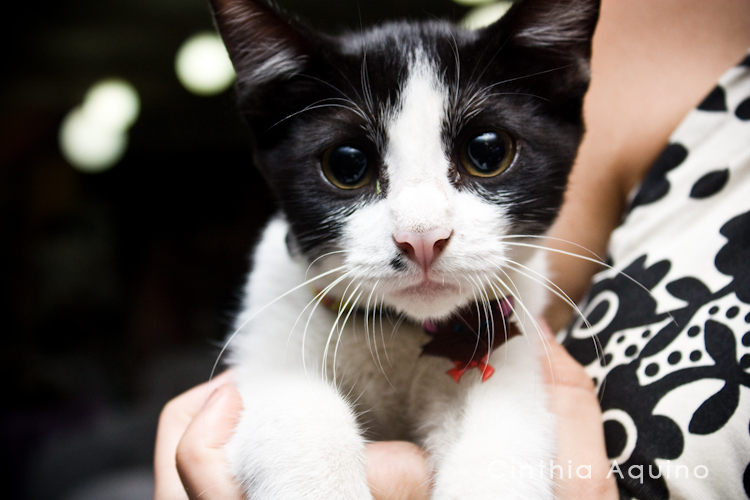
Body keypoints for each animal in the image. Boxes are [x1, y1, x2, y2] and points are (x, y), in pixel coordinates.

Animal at [209, 0, 604, 496]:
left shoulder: (512, 337)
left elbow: (507, 422)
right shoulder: (270, 330)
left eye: (488, 152)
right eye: (347, 164)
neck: (397, 334)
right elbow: (293, 405)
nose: (421, 237)